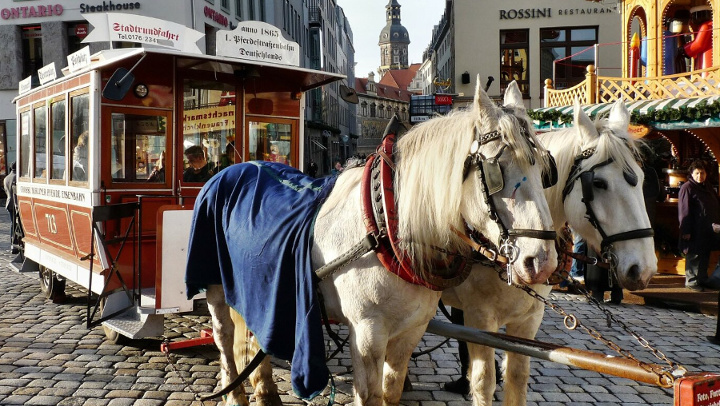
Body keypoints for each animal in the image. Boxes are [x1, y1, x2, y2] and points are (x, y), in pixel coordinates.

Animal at [194, 80, 560, 406]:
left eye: (545, 170)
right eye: (497, 169)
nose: (542, 262)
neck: (388, 228)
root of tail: (230, 168)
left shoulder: (411, 330)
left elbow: (391, 391)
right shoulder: (368, 333)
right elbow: (370, 396)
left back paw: (265, 392)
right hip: (215, 285)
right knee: (224, 337)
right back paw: (235, 394)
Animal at [438, 98, 660, 406]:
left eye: (639, 178)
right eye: (599, 183)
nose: (645, 269)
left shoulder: (530, 318)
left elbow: (517, 377)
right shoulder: (479, 316)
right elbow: (484, 382)